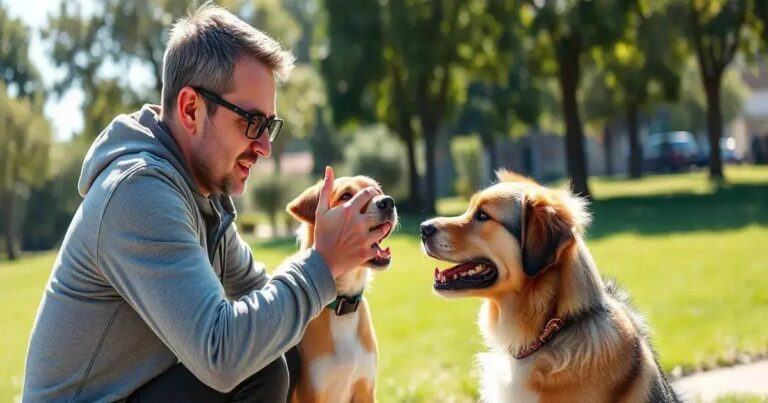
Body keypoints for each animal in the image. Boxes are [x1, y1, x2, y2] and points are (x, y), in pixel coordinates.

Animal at [286, 176, 396, 403]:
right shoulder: (312, 392)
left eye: (378, 191)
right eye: (346, 196)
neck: (342, 305)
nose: (388, 202)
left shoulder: (365, 388)